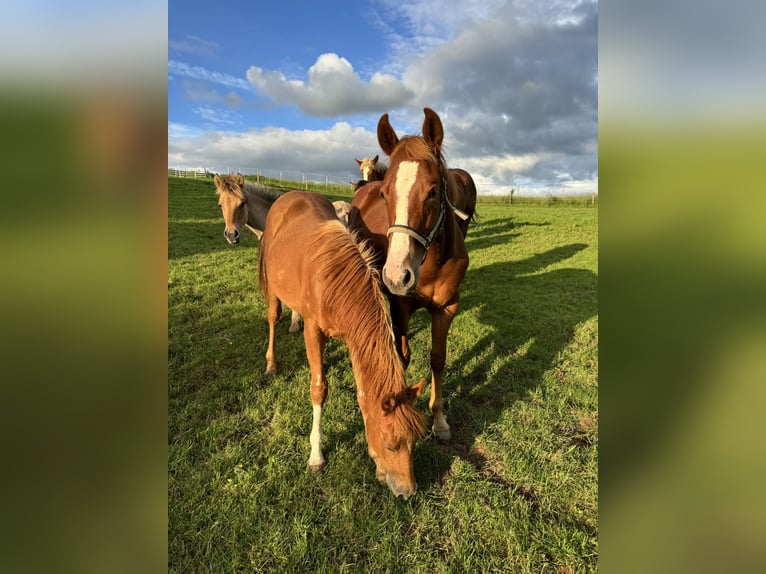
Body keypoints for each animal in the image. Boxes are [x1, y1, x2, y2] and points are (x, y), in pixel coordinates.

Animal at [256, 192, 426, 500]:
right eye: (391, 444)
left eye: (413, 442)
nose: (407, 492)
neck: (333, 280)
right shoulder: (313, 333)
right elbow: (319, 389)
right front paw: (316, 456)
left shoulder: (353, 338)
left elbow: (362, 394)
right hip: (274, 288)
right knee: (273, 317)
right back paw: (271, 363)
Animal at [354, 107, 474, 440]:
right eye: (385, 194)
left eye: (433, 191)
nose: (397, 276)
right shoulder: (400, 306)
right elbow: (402, 357)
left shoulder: (447, 308)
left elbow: (437, 358)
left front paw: (439, 420)